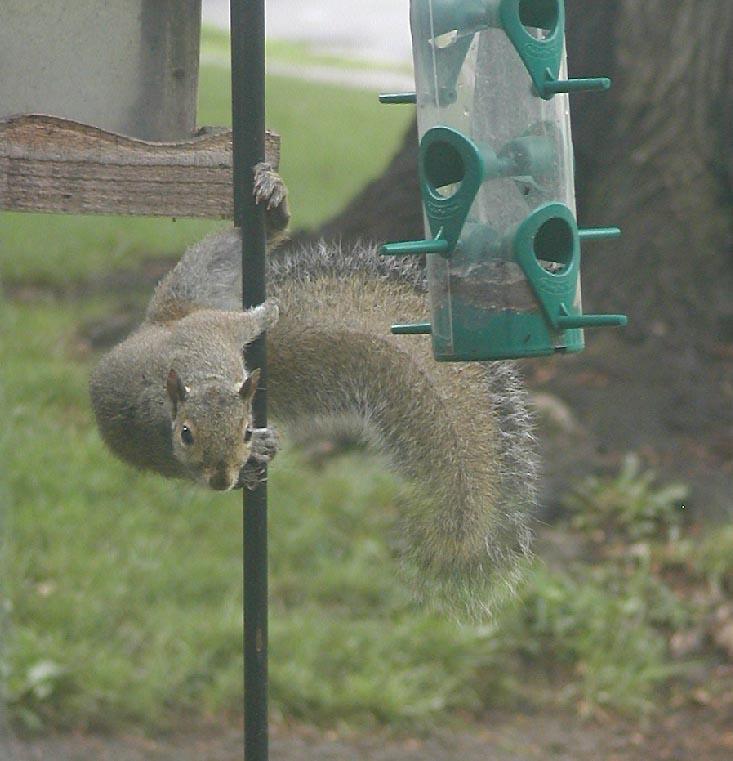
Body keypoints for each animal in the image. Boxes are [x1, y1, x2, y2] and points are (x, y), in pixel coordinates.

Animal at [91, 163, 536, 616]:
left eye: (244, 429)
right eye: (185, 436)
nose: (219, 480)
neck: (209, 375)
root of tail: (152, 325)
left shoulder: (210, 329)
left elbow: (241, 324)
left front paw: (263, 317)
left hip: (194, 288)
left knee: (226, 250)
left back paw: (273, 208)